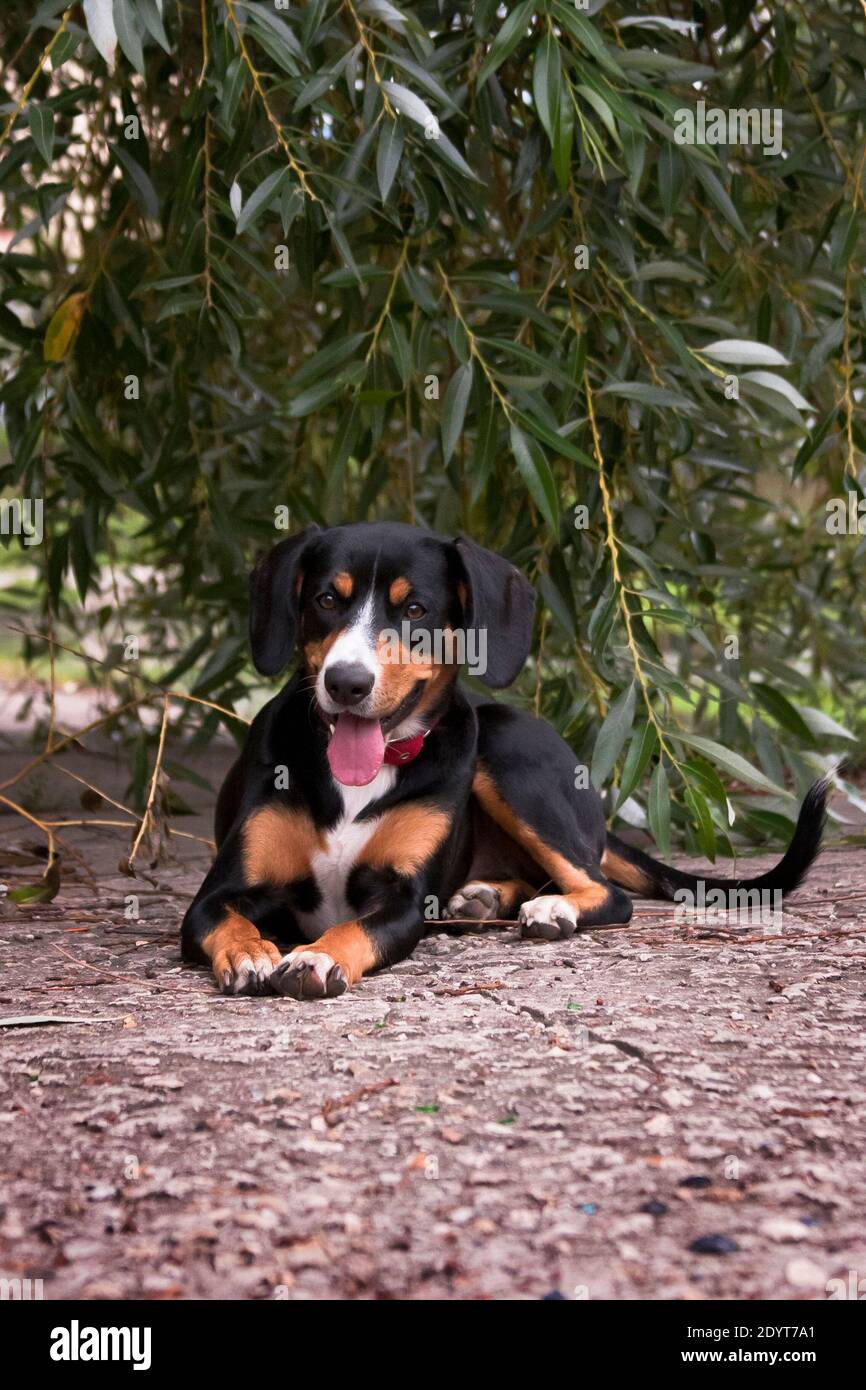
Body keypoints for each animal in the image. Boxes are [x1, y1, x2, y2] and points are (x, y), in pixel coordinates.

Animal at [180, 522, 828, 1000]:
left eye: (415, 610)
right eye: (325, 600)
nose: (346, 682)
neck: (358, 780)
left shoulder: (404, 900)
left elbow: (351, 927)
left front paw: (315, 956)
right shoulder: (215, 895)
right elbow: (226, 919)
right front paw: (251, 949)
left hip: (506, 752)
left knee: (603, 890)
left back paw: (551, 909)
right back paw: (486, 897)